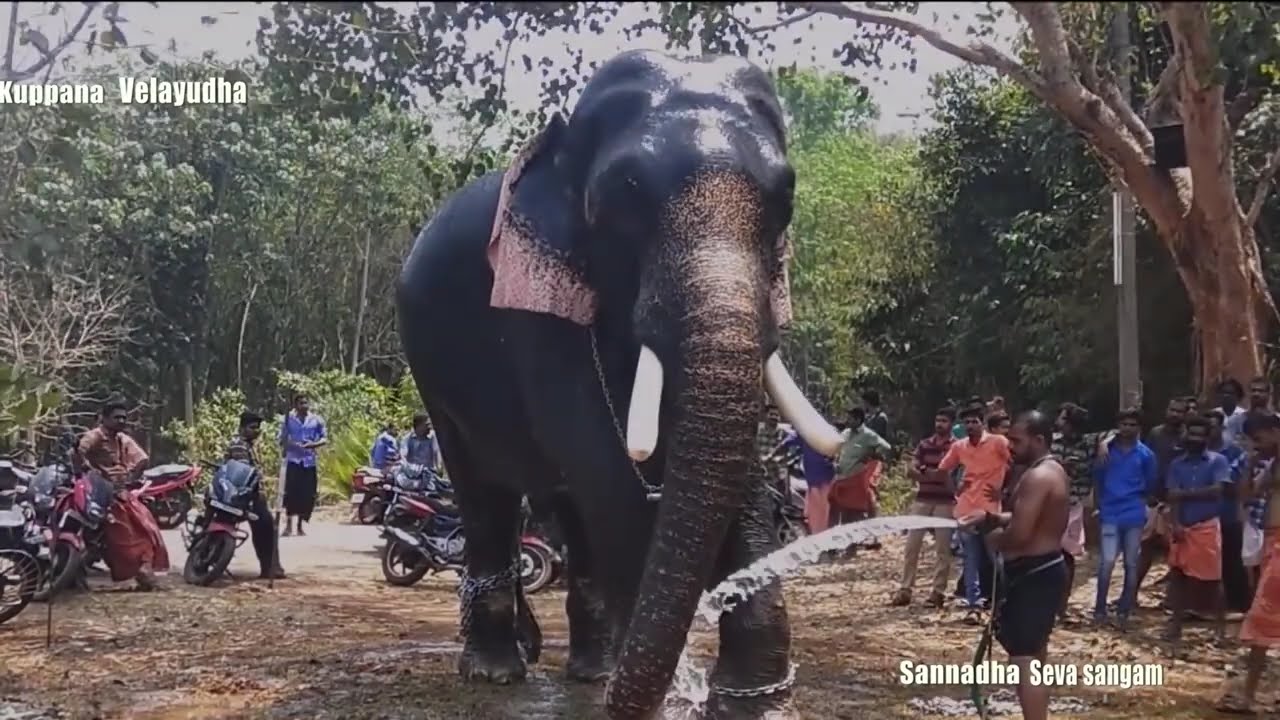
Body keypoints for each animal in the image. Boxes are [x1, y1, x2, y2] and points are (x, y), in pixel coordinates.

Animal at [396, 49, 843, 720]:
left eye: (785, 197)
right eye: (626, 193)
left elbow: (739, 473)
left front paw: (751, 702)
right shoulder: (534, 304)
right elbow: (604, 466)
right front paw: (671, 698)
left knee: (566, 507)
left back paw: (592, 669)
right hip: (430, 368)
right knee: (486, 493)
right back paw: (496, 672)